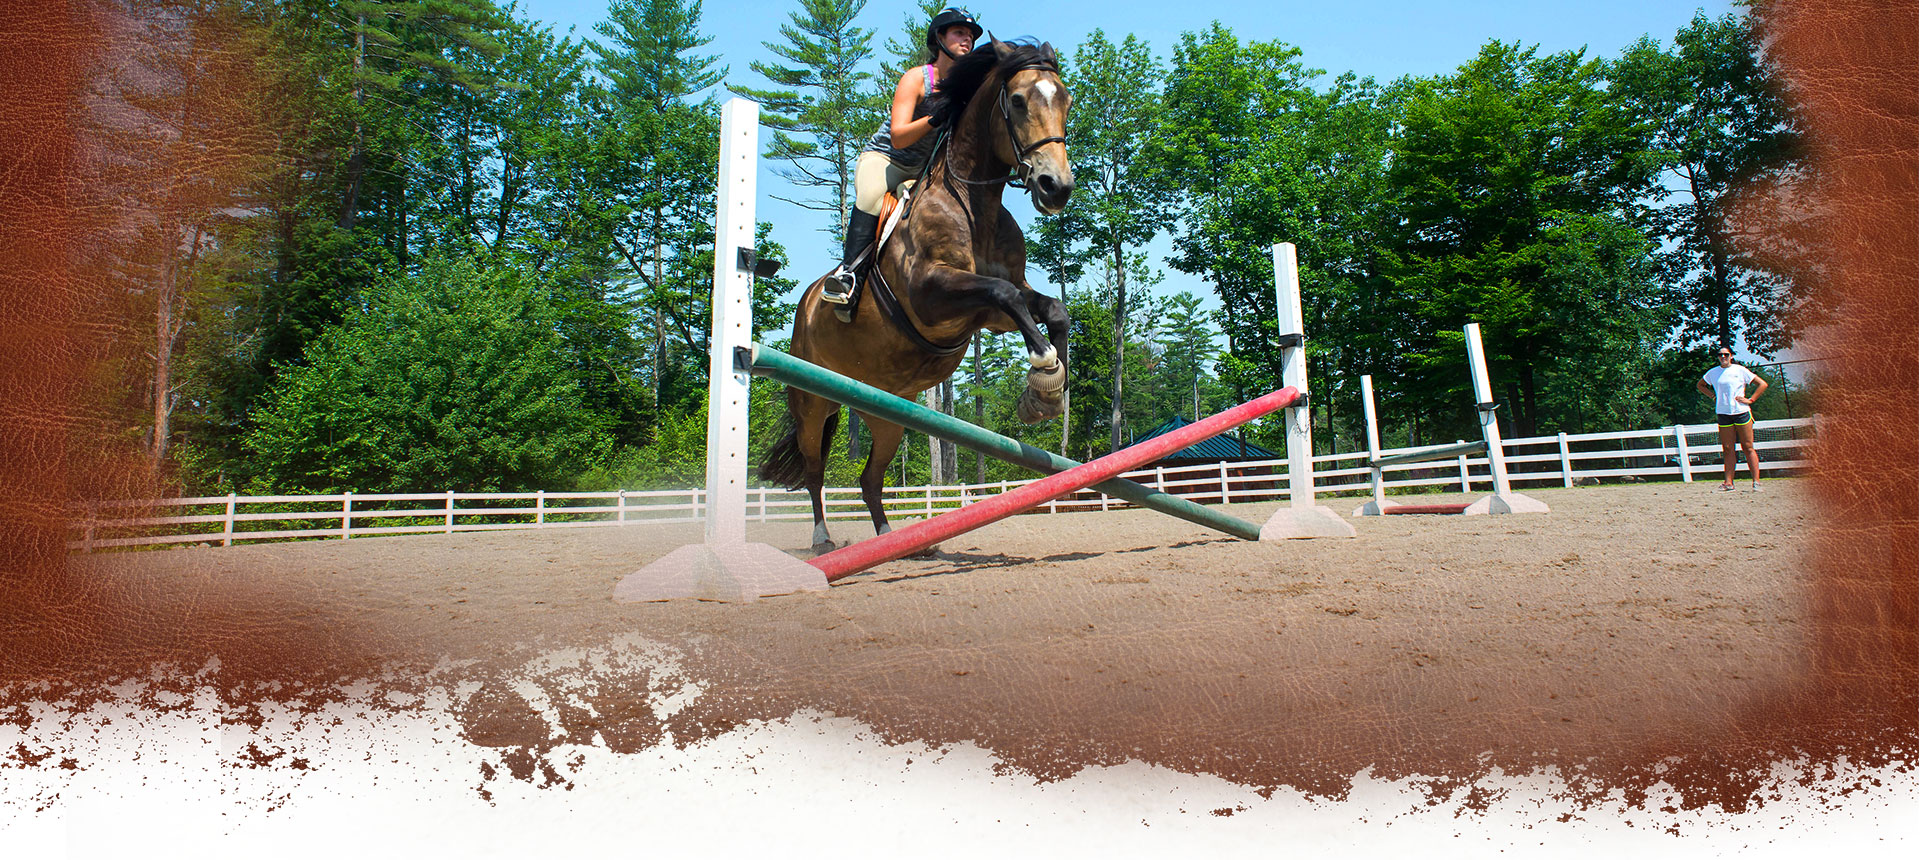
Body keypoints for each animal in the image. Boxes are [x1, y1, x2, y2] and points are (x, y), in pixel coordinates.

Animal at [752, 38, 1082, 552]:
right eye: (1018, 101)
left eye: (1065, 100)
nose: (1057, 187)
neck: (976, 205)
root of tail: (805, 305)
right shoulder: (933, 295)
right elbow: (1005, 293)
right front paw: (1046, 371)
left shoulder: (990, 314)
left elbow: (1049, 307)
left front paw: (1048, 393)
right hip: (811, 401)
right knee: (813, 470)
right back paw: (824, 539)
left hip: (887, 414)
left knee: (870, 478)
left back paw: (894, 540)